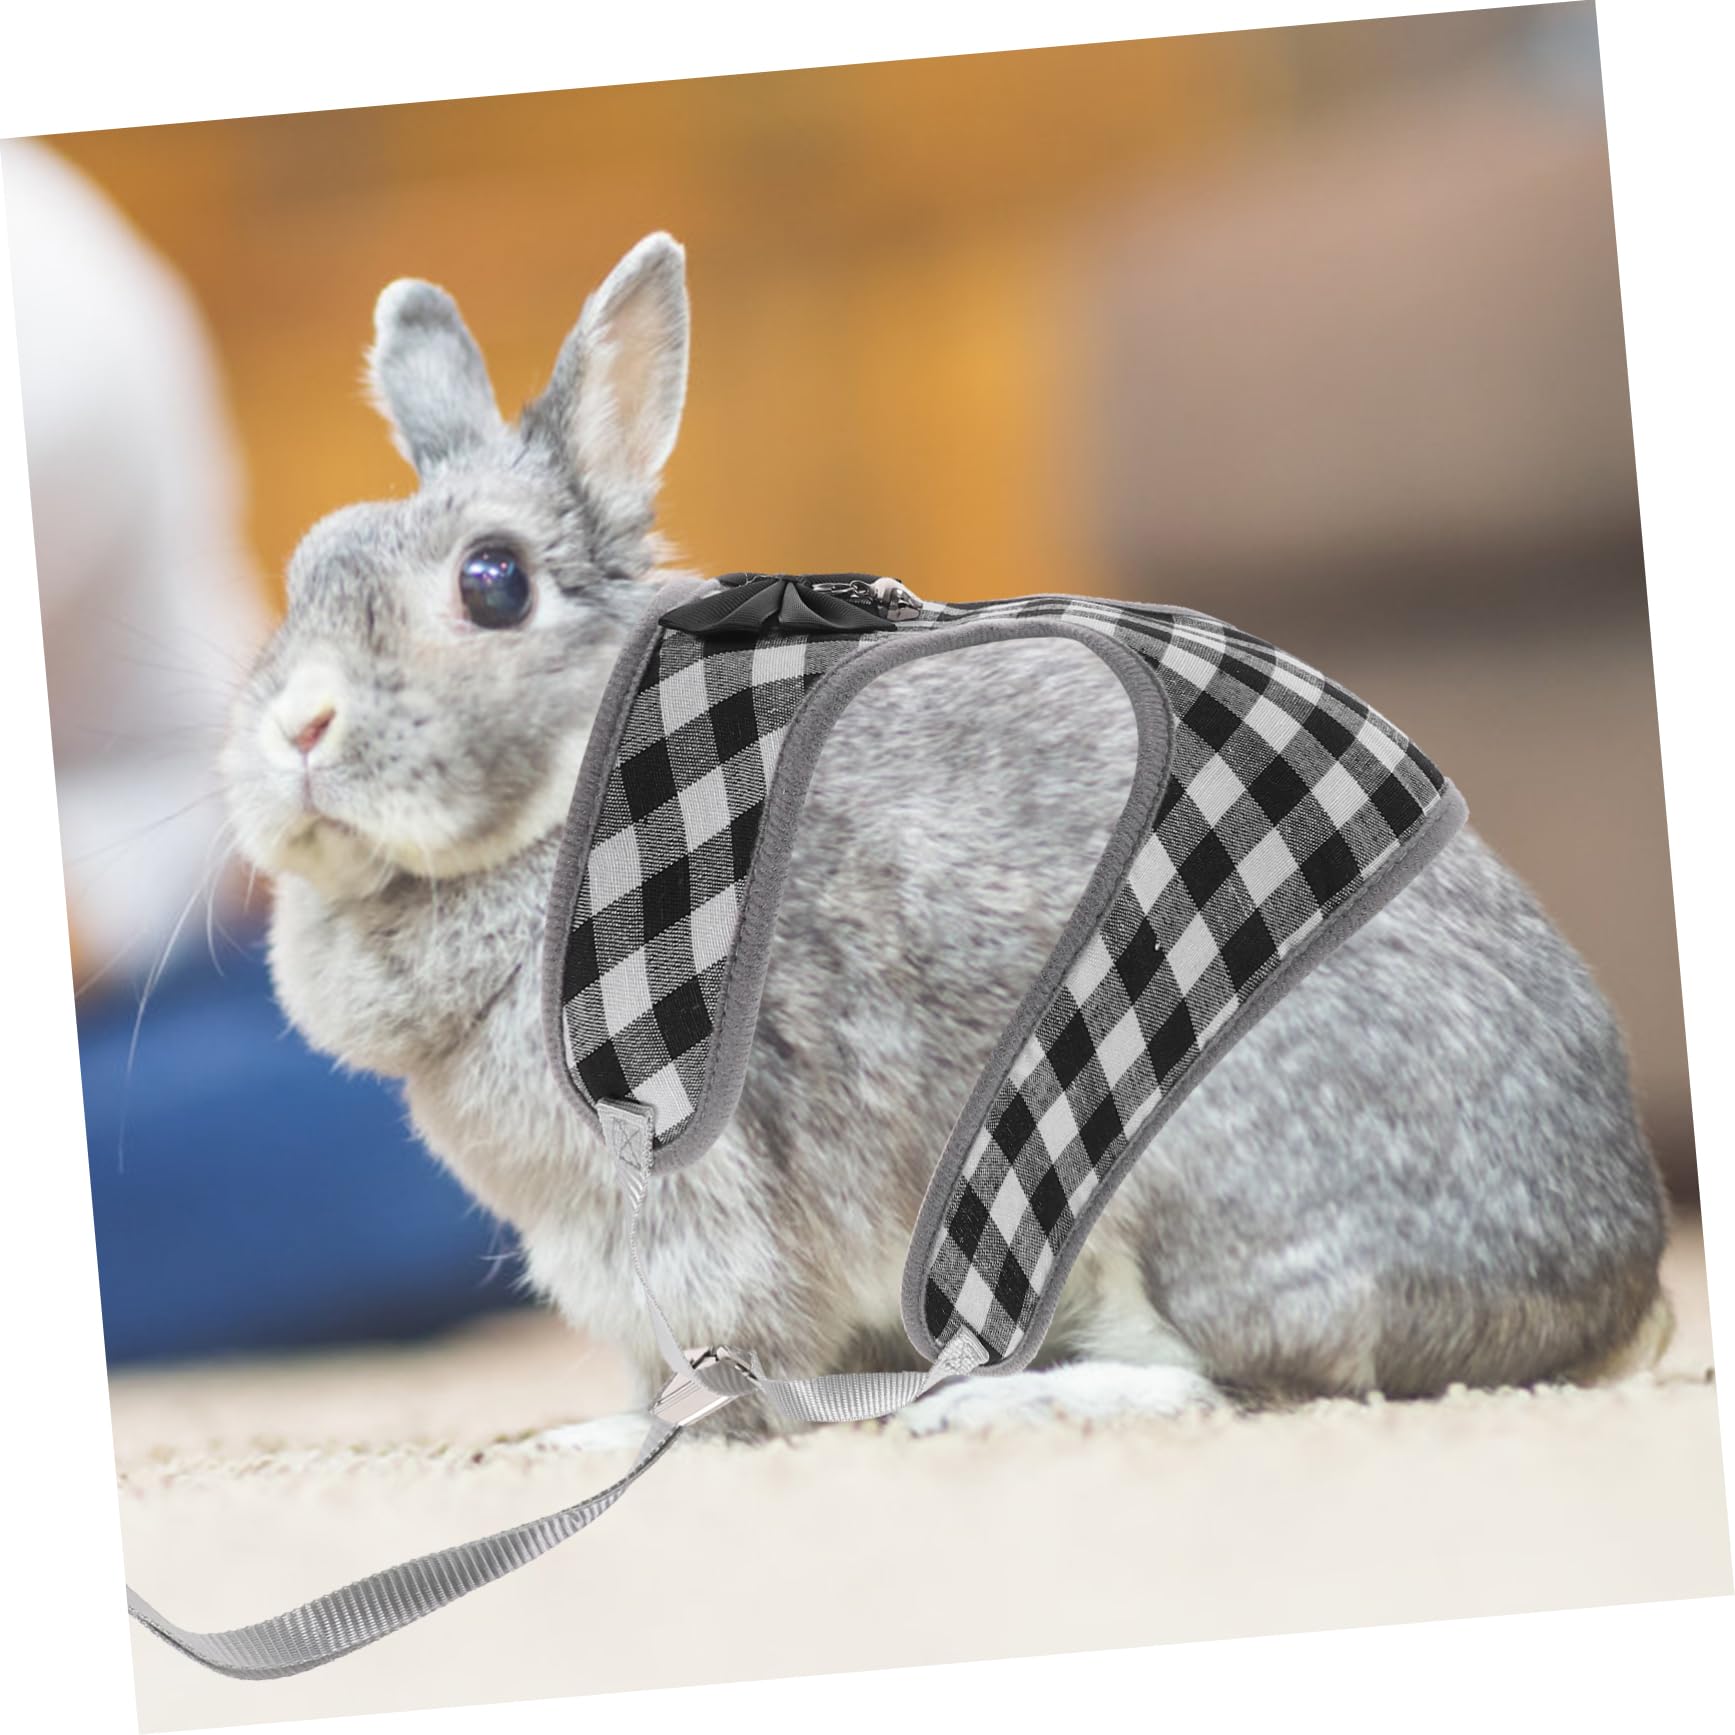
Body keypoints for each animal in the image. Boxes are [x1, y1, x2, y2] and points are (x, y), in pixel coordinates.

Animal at [222, 232, 1672, 1444]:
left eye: (492, 583)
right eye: (303, 572)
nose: (294, 729)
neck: (594, 775)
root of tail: (1612, 1282)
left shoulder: (686, 1206)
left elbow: (708, 1366)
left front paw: (602, 1443)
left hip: (1185, 1191)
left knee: (1254, 1381)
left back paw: (999, 1403)